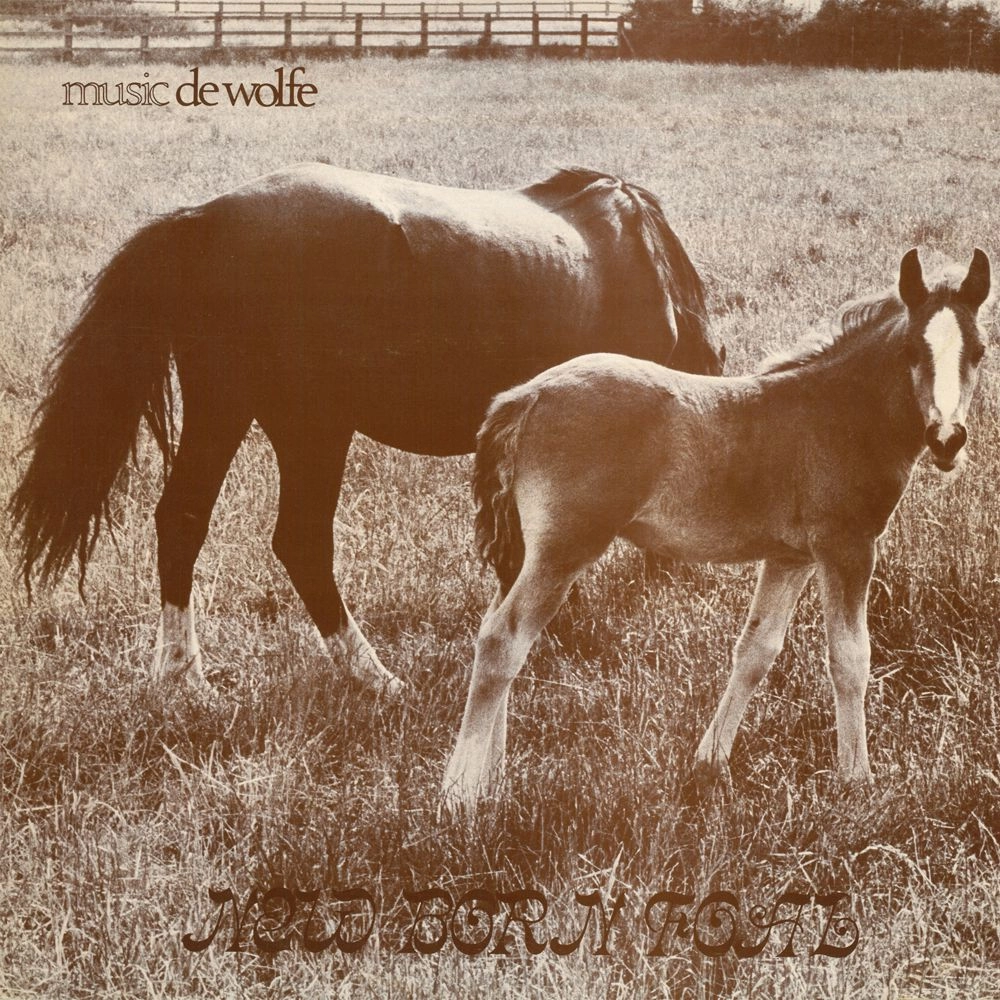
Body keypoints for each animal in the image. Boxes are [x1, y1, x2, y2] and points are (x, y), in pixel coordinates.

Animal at [9, 163, 724, 698]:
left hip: (226, 409)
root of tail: (206, 220)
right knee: (299, 541)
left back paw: (181, 675)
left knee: (182, 518)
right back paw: (371, 676)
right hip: (313, 429)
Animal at [442, 248, 991, 813]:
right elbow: (850, 659)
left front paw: (708, 763)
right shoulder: (848, 548)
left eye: (979, 351)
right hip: (564, 549)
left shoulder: (791, 557)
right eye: (911, 349)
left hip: (529, 551)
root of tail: (526, 396)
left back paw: (492, 779)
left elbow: (756, 651)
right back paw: (460, 795)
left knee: (500, 633)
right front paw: (857, 780)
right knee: (503, 639)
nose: (947, 439)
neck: (837, 412)